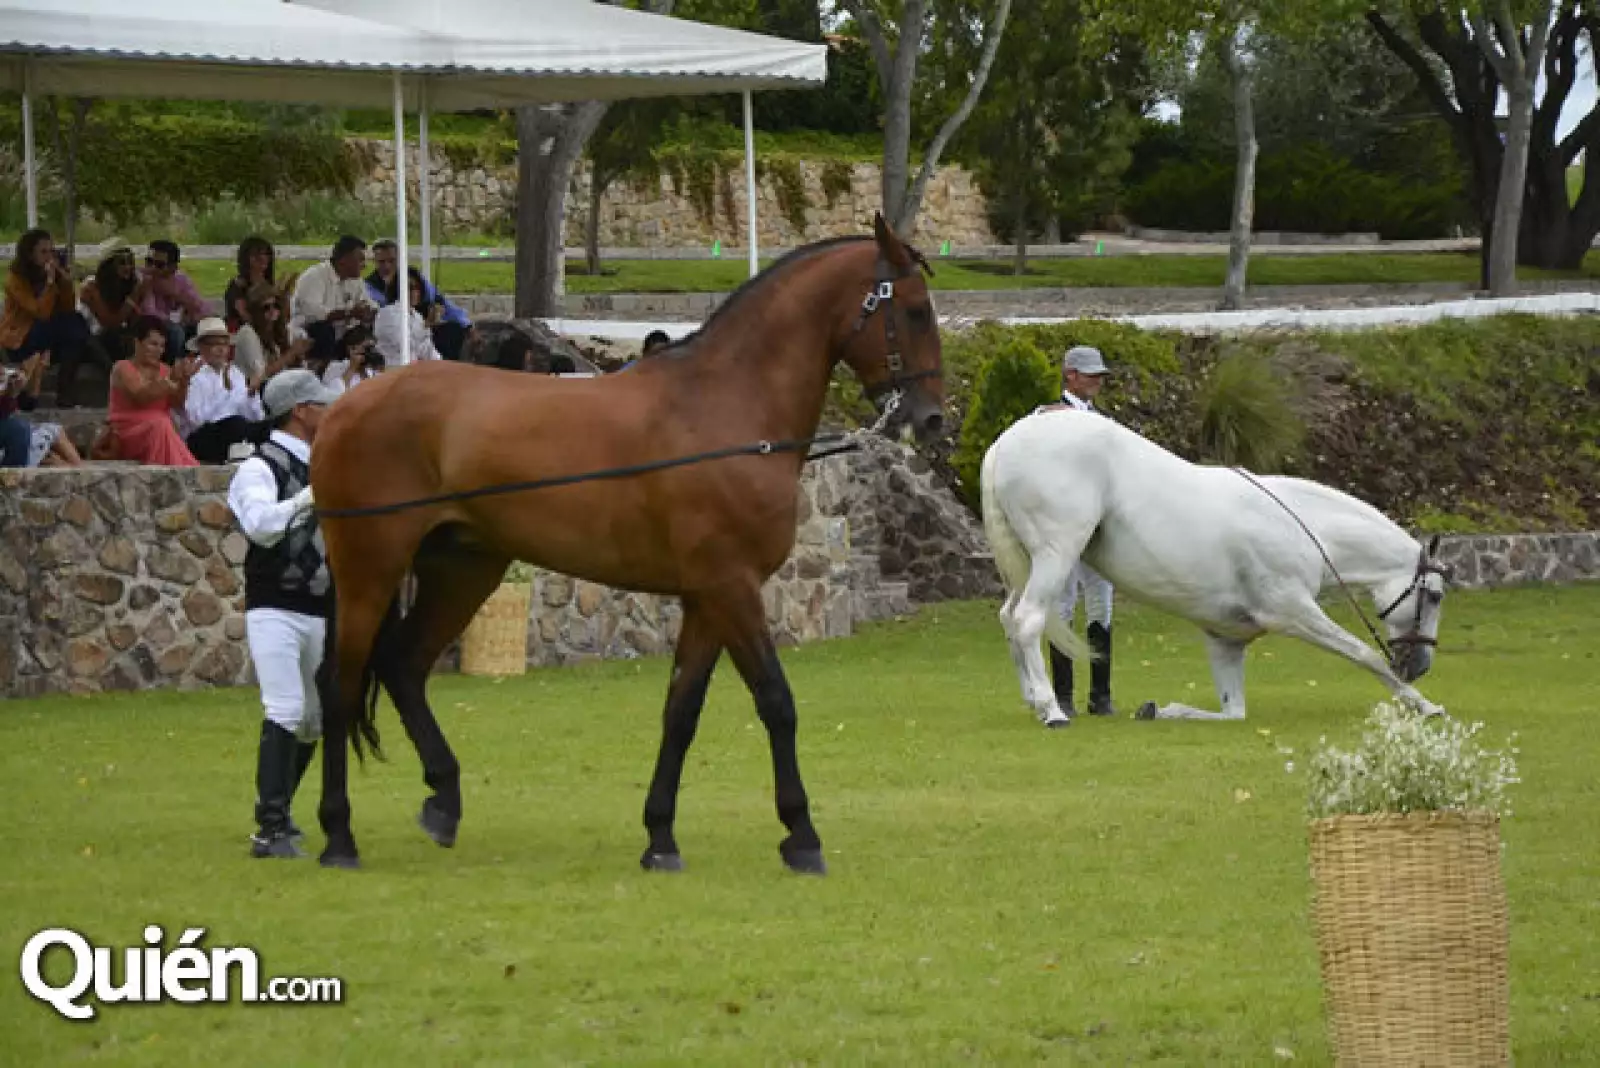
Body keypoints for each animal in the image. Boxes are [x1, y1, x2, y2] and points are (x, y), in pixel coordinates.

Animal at [307, 215, 944, 873]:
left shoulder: (707, 598)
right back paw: (339, 835)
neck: (723, 409)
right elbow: (775, 699)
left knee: (403, 665)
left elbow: (681, 710)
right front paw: (801, 834)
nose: (931, 419)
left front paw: (660, 836)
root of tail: (342, 409)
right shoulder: (732, 588)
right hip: (369, 571)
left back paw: (443, 800)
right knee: (338, 686)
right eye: (916, 310)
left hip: (463, 568)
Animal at [979, 409, 1450, 728]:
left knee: (1008, 617)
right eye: (1435, 595)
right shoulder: (1292, 612)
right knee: (1028, 619)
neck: (1303, 524)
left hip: (1028, 563)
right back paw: (1051, 709)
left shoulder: (1226, 639)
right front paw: (1425, 705)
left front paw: (1160, 709)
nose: (1421, 665)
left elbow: (1232, 712)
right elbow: (1364, 653)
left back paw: (1033, 698)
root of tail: (1008, 439)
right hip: (1056, 555)